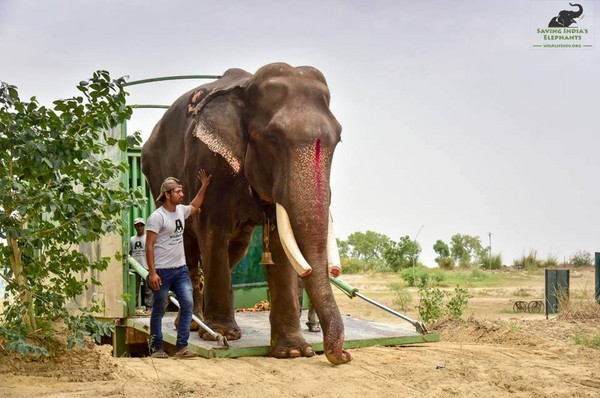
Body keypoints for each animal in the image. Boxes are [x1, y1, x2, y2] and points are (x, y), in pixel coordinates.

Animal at [142, 61, 350, 364]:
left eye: (338, 139)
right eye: (273, 138)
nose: (343, 355)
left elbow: (279, 245)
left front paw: (293, 351)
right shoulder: (210, 161)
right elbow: (213, 230)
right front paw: (222, 334)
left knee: (234, 249)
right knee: (191, 250)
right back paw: (193, 324)